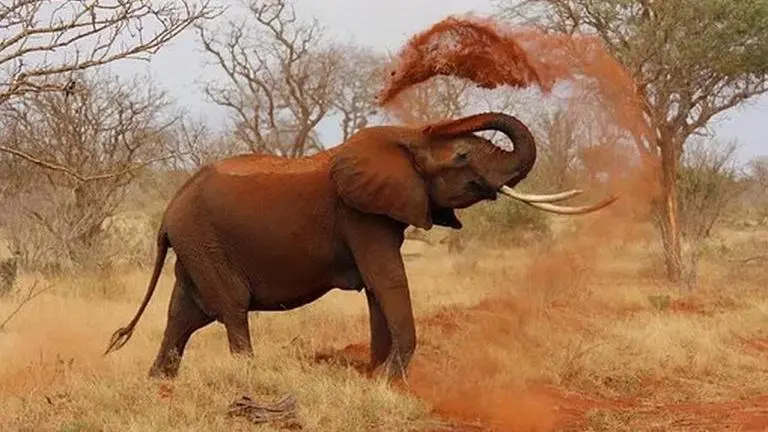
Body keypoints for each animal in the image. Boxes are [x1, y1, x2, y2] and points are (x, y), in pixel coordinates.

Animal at [104, 112, 616, 380]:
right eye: (462, 156)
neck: (404, 139)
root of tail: (168, 212)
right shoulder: (360, 215)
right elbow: (387, 279)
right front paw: (390, 380)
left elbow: (377, 288)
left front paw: (375, 375)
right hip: (205, 242)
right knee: (229, 308)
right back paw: (248, 376)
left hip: (196, 246)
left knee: (184, 314)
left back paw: (159, 384)